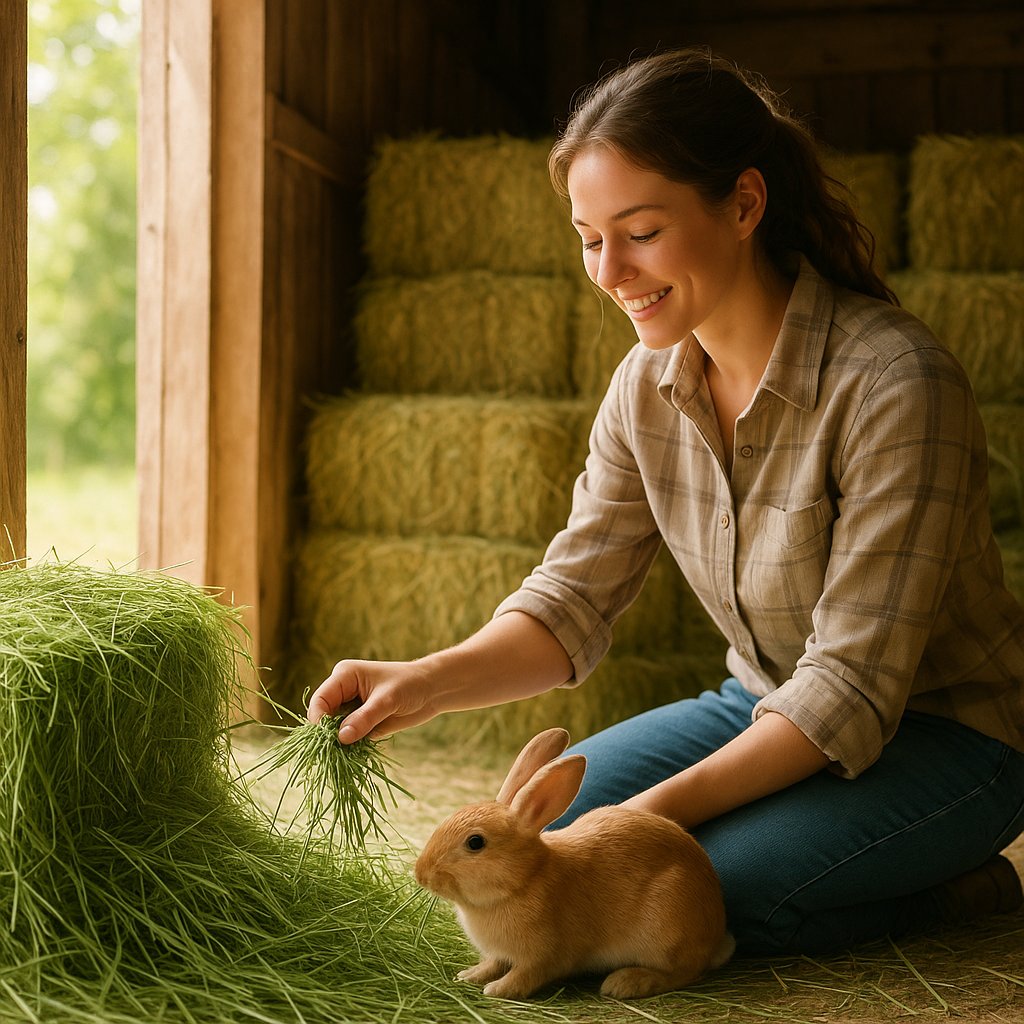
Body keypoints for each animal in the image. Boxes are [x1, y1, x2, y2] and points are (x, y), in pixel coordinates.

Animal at [413, 727, 735, 1000]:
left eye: (475, 843)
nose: (421, 874)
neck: (525, 879)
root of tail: (716, 932)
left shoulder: (545, 954)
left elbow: (526, 975)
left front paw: (497, 990)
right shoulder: (500, 953)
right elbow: (492, 963)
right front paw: (469, 975)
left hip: (668, 927)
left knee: (685, 972)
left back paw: (626, 983)